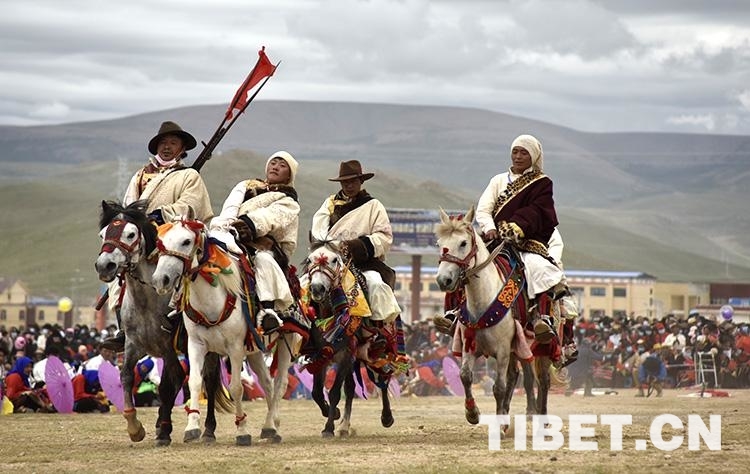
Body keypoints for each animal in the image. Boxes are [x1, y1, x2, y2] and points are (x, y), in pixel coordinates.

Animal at [94, 200, 229, 446]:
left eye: (130, 234)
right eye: (103, 234)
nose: (104, 265)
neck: (147, 299)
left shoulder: (168, 346)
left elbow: (169, 383)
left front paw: (164, 431)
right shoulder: (133, 344)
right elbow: (126, 376)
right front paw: (135, 428)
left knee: (209, 379)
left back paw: (207, 430)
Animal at [151, 218, 299, 445]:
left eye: (186, 241)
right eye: (160, 241)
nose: (161, 279)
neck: (212, 302)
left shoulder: (235, 348)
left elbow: (236, 388)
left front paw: (242, 431)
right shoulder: (196, 345)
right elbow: (195, 382)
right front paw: (192, 428)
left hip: (286, 340)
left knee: (280, 383)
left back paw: (273, 424)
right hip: (254, 350)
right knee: (267, 383)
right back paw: (269, 427)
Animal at [302, 240, 403, 437]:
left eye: (334, 259)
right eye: (309, 260)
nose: (317, 288)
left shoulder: (346, 354)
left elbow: (334, 392)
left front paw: (328, 428)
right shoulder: (322, 353)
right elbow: (317, 391)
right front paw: (333, 415)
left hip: (377, 349)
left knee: (382, 379)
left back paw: (386, 417)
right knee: (350, 388)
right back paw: (344, 426)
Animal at [435, 206, 561, 427]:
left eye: (463, 243)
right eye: (439, 243)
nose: (444, 280)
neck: (482, 299)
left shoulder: (501, 351)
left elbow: (499, 388)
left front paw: (501, 423)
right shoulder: (470, 346)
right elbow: (465, 376)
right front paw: (473, 413)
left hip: (541, 346)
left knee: (542, 380)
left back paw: (541, 418)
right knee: (519, 376)